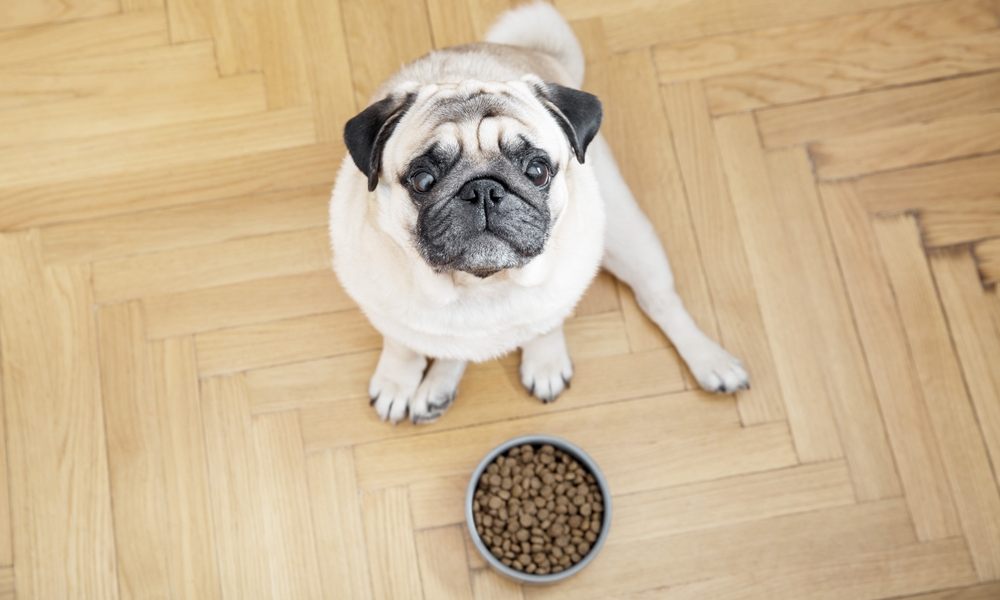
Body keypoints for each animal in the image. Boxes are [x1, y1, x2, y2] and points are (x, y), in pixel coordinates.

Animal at [330, 1, 752, 422]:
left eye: (537, 170)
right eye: (422, 179)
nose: (483, 189)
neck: (482, 287)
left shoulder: (560, 291)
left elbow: (546, 324)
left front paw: (545, 363)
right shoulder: (385, 308)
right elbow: (401, 343)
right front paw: (396, 382)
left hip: (628, 237)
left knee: (661, 302)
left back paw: (710, 360)